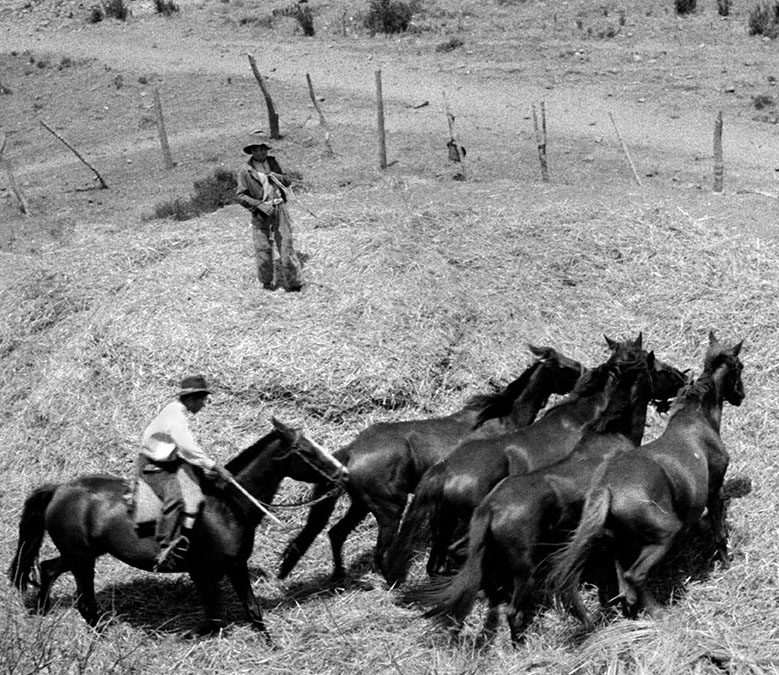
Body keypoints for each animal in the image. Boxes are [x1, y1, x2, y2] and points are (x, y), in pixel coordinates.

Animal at [8, 418, 350, 640]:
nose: (343, 474)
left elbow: (239, 611)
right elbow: (224, 614)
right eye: (308, 451)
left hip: (81, 554)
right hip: (82, 559)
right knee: (83, 600)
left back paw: (41, 611)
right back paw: (101, 636)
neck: (228, 506)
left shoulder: (226, 568)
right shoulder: (212, 569)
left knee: (47, 568)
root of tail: (59, 489)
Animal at [278, 348, 580, 580]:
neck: (502, 419)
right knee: (380, 549)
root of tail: (351, 451)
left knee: (336, 533)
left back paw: (340, 576)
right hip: (389, 509)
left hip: (361, 505)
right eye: (566, 365)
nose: (583, 370)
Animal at [552, 332, 748, 628]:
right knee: (634, 577)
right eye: (740, 367)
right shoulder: (716, 489)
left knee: (625, 589)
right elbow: (718, 530)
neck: (696, 418)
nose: (741, 395)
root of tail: (606, 490)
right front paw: (726, 561)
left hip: (622, 546)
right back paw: (659, 613)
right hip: (664, 536)